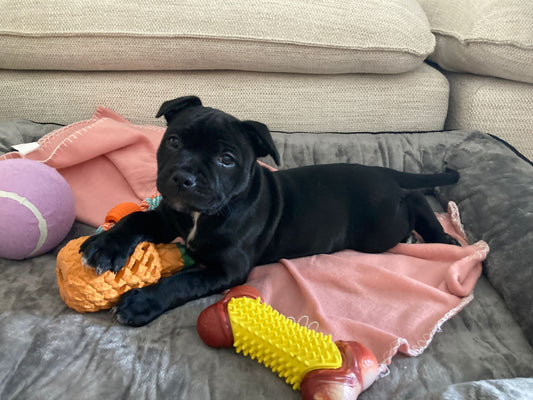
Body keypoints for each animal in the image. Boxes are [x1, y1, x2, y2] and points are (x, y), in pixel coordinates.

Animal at [79, 95, 458, 326]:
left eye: (226, 159)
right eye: (173, 141)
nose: (183, 178)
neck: (206, 214)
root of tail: (381, 171)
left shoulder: (225, 268)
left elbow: (183, 281)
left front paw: (142, 303)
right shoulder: (167, 217)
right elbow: (136, 218)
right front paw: (105, 247)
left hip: (379, 229)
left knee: (414, 199)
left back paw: (441, 237)